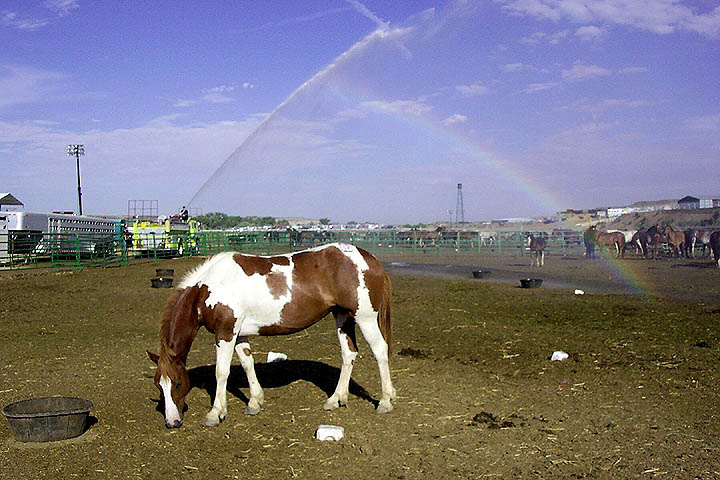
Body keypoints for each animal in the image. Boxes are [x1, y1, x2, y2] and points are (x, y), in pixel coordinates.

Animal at [146, 244, 394, 428]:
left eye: (178, 383)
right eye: (159, 385)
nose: (172, 422)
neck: (210, 286)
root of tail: (370, 259)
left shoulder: (225, 333)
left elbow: (221, 372)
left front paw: (215, 413)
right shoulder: (239, 334)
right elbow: (247, 363)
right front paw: (255, 402)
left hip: (365, 318)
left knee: (380, 351)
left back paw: (385, 401)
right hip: (342, 316)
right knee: (348, 354)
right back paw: (335, 399)